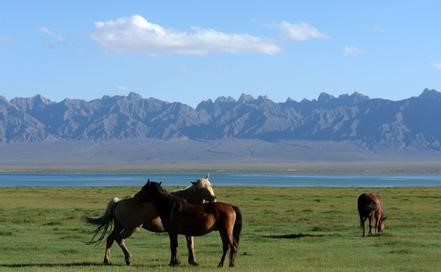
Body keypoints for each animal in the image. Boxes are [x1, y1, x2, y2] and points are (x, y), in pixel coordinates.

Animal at [85, 174, 215, 266]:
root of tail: (118, 201)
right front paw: (182, 261)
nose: (213, 198)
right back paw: (128, 259)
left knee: (110, 239)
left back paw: (107, 260)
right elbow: (182, 245)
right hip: (131, 228)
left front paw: (192, 261)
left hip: (120, 226)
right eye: (201, 189)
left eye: (210, 185)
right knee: (119, 239)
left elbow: (189, 244)